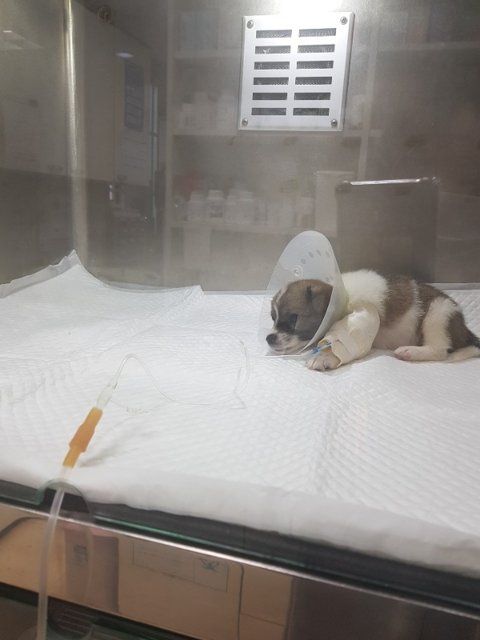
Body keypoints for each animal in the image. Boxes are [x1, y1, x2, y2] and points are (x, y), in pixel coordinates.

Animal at [267, 270, 480, 371]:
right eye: (273, 318)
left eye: (294, 319)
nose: (269, 338)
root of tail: (465, 330)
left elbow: (340, 344)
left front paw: (325, 357)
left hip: (438, 313)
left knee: (440, 351)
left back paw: (410, 352)